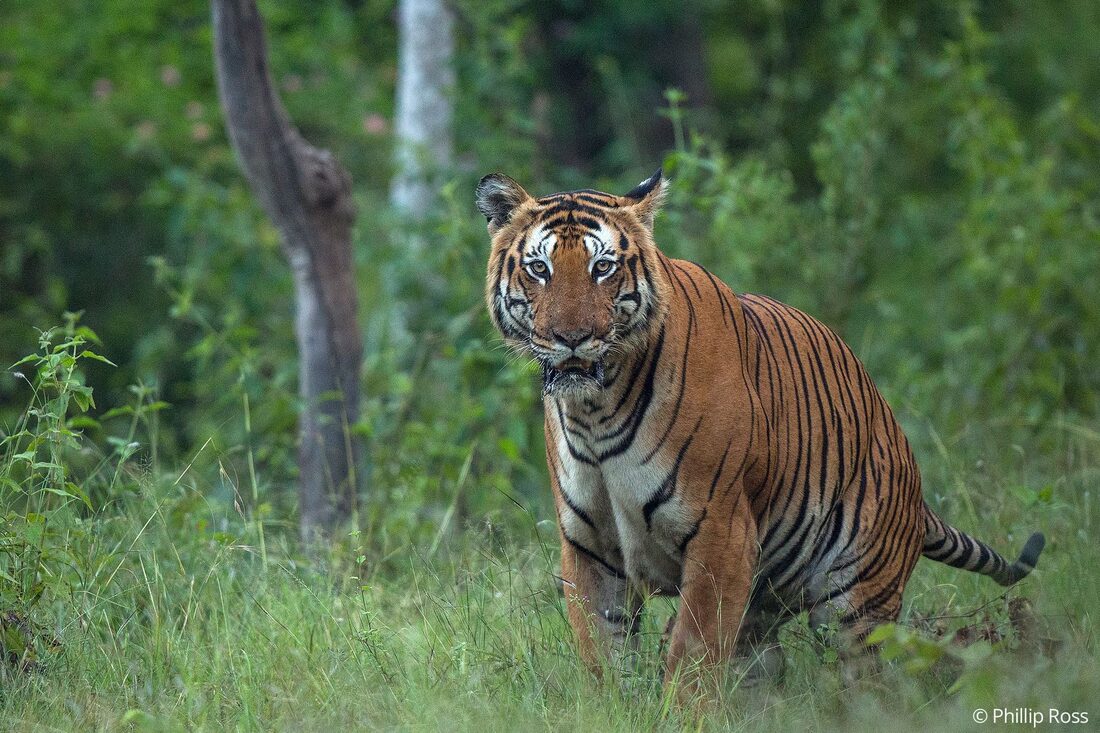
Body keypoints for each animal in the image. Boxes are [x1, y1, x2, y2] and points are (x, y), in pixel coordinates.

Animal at [475, 168, 1045, 690]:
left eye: (602, 268)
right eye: (540, 268)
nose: (571, 338)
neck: (595, 410)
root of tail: (916, 490)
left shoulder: (720, 533)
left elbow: (694, 653)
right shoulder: (590, 547)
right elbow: (602, 655)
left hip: (857, 604)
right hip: (764, 611)